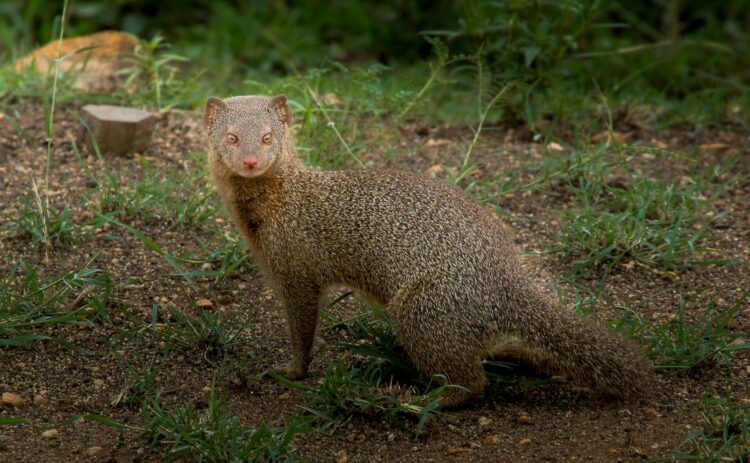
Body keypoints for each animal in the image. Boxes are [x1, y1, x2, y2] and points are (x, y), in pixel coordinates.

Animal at [203, 94, 652, 407]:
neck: (274, 205)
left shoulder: (295, 266)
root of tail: (508, 278)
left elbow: (301, 326)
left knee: (473, 384)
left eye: (267, 137)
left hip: (423, 305)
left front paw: (291, 370)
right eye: (231, 137)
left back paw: (417, 400)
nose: (250, 161)